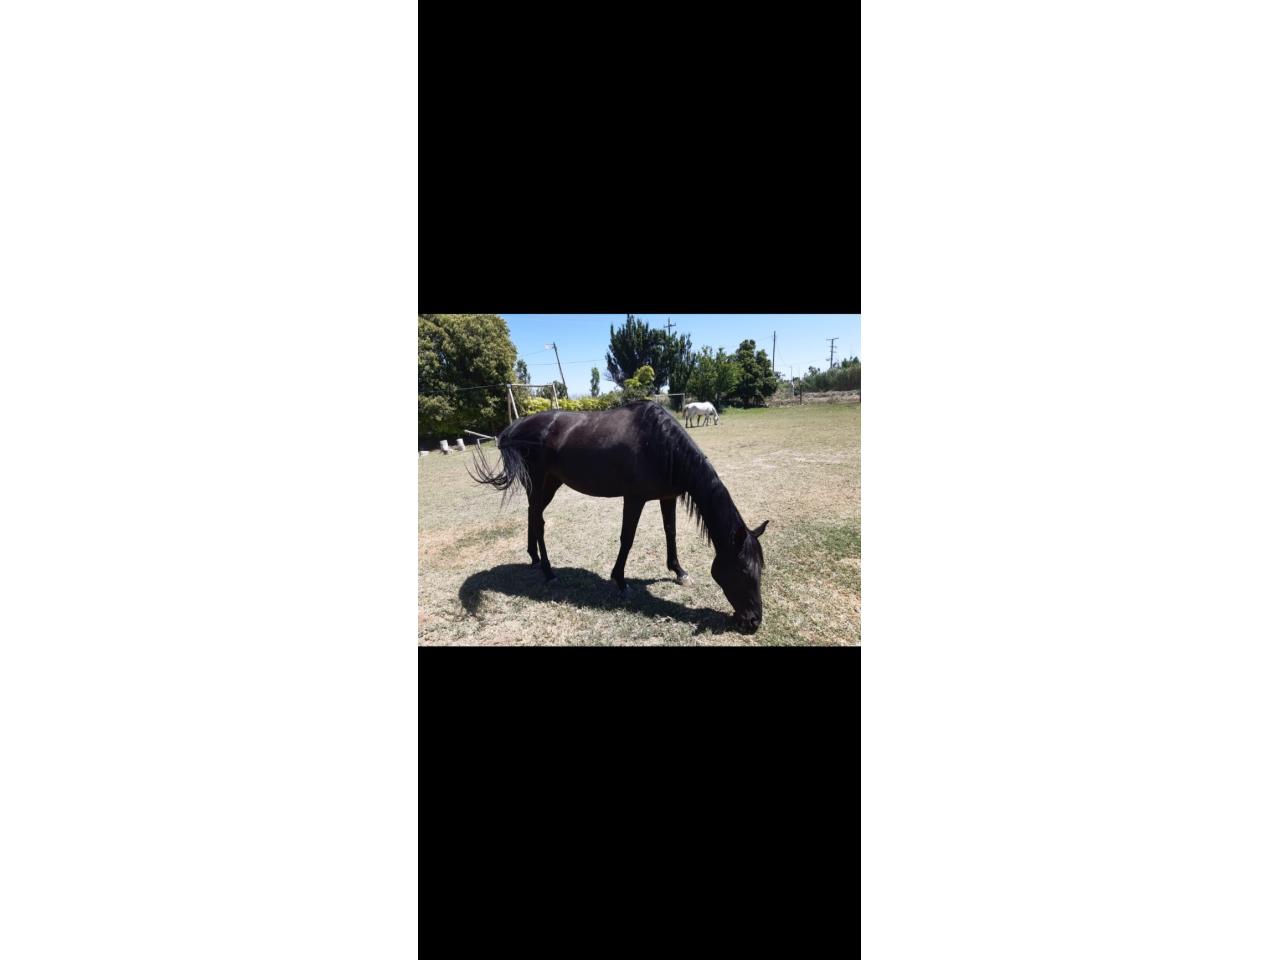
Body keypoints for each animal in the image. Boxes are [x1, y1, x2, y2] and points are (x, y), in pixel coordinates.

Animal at [467, 400, 768, 632]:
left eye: (760, 570)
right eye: (743, 571)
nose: (753, 622)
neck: (661, 445)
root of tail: (516, 426)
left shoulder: (668, 497)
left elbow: (670, 531)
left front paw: (678, 571)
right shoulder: (634, 499)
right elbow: (627, 538)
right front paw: (620, 580)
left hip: (551, 483)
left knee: (533, 515)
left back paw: (534, 558)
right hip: (539, 482)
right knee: (538, 521)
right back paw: (548, 571)